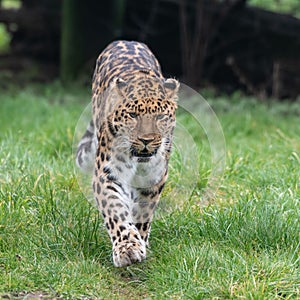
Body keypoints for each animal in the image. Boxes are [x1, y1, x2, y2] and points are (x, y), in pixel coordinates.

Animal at [76, 40, 179, 268]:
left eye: (160, 116)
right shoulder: (108, 175)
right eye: (132, 115)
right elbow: (116, 211)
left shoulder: (154, 178)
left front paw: (140, 241)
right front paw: (127, 248)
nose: (146, 140)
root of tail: (127, 40)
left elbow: (143, 213)